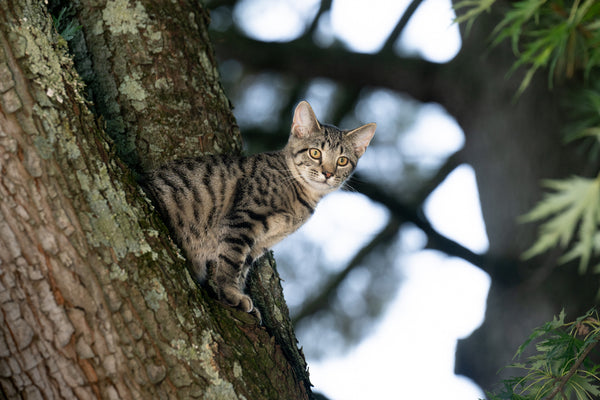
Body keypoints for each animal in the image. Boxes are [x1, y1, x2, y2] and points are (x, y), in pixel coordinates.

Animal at [142, 101, 376, 320]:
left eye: (342, 160)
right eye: (315, 152)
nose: (328, 173)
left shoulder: (259, 244)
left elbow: (240, 268)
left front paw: (237, 294)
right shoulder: (242, 221)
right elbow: (231, 262)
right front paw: (231, 293)